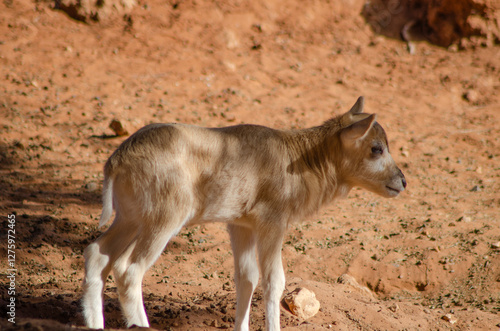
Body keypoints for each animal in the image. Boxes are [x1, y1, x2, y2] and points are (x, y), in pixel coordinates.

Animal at [82, 97, 406, 330]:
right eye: (376, 148)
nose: (402, 181)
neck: (296, 158)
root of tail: (117, 160)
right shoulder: (272, 224)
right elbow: (274, 282)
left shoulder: (241, 227)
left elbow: (246, 278)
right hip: (163, 222)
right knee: (129, 270)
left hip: (131, 220)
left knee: (98, 254)